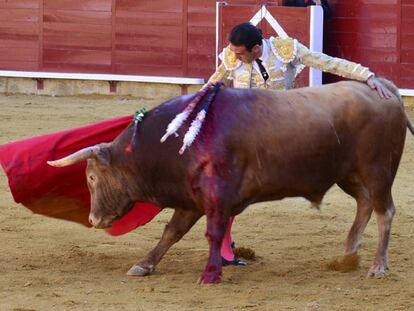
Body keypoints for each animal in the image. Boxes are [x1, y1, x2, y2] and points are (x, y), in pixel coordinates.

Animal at [47, 78, 410, 286]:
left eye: (91, 177)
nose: (93, 219)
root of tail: (386, 92)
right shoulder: (193, 198)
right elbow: (171, 232)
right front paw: (144, 265)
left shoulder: (215, 196)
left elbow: (213, 232)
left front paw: (210, 274)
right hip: (348, 175)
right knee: (365, 203)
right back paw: (348, 256)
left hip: (378, 170)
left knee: (384, 211)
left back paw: (377, 266)